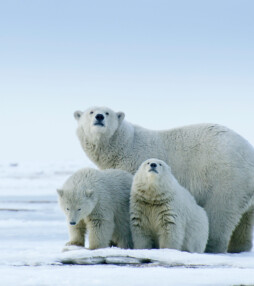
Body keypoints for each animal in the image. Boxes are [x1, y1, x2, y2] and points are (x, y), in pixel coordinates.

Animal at [74, 105, 254, 252]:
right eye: (91, 112)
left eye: (107, 113)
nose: (99, 117)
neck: (124, 145)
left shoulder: (135, 166)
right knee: (245, 222)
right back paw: (240, 248)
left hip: (226, 179)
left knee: (219, 213)